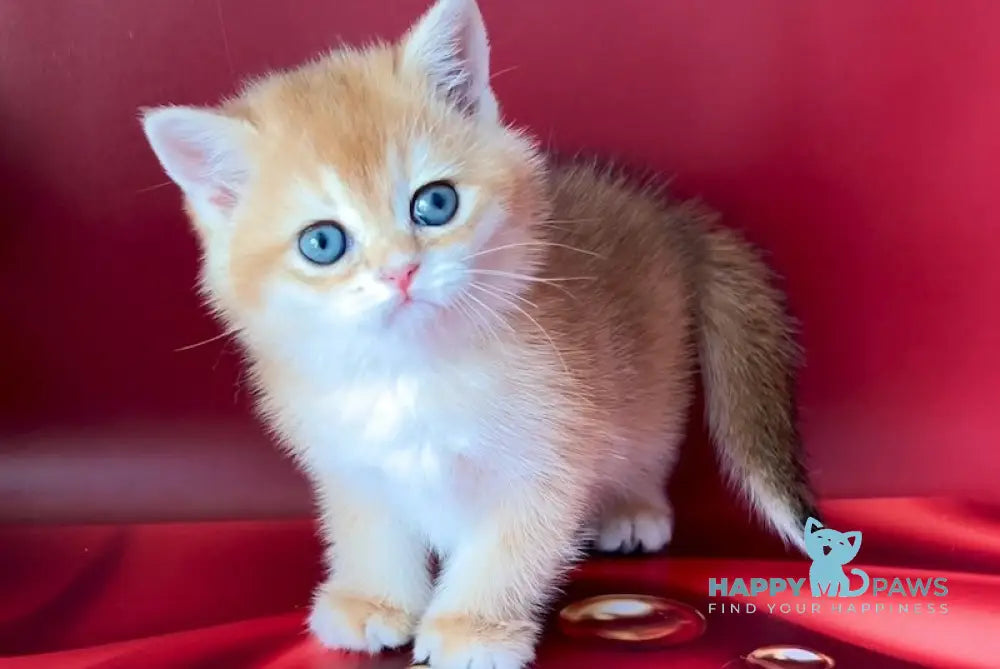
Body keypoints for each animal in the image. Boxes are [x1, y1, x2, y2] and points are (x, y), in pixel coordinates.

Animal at [139, 1, 812, 668]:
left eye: (434, 203)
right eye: (322, 241)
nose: (401, 271)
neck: (412, 372)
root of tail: (668, 215)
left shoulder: (546, 459)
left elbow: (507, 552)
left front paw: (473, 628)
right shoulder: (352, 465)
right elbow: (370, 531)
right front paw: (373, 600)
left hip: (652, 385)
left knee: (647, 445)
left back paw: (631, 508)